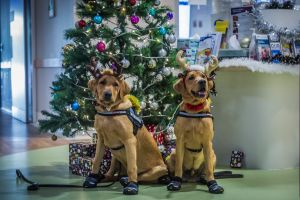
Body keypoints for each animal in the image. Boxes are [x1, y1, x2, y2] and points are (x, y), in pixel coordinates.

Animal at [83, 57, 170, 195]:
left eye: (116, 85)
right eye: (102, 82)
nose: (107, 94)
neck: (109, 112)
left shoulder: (129, 140)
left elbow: (132, 166)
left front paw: (132, 185)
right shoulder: (101, 139)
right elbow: (96, 160)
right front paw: (92, 178)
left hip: (159, 169)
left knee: (142, 175)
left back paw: (126, 180)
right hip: (115, 156)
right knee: (112, 173)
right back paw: (103, 177)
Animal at [168, 50, 224, 194]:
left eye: (203, 76)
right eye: (191, 77)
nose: (203, 82)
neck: (194, 109)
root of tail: (192, 176)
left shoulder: (207, 141)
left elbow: (209, 168)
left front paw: (213, 184)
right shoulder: (180, 140)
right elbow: (178, 167)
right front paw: (176, 182)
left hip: (214, 155)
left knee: (206, 170)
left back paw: (204, 178)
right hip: (172, 155)